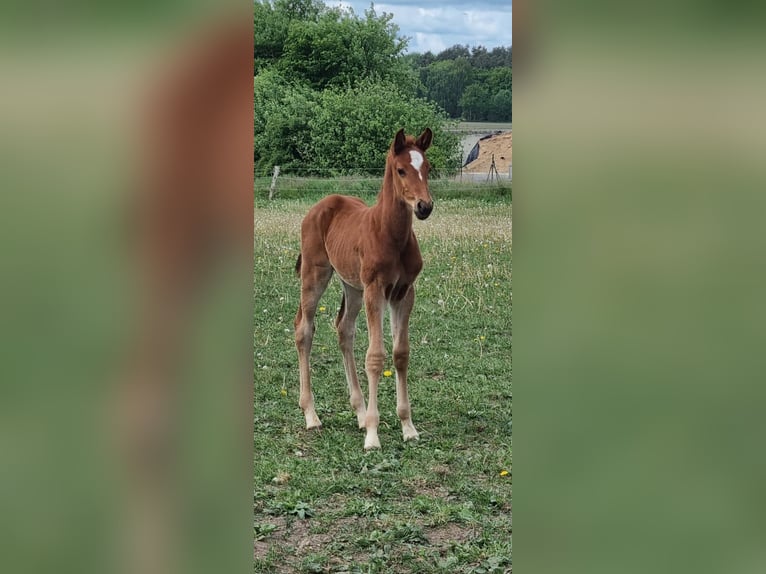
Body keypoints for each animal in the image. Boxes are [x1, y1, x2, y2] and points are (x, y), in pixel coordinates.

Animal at [294, 128, 434, 450]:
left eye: (428, 168)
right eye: (401, 170)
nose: (424, 207)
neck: (390, 234)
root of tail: (322, 205)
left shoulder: (403, 293)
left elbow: (400, 354)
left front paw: (408, 427)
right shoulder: (375, 289)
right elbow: (375, 357)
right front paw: (373, 434)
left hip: (351, 286)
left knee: (344, 329)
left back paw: (358, 410)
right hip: (315, 274)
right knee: (304, 329)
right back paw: (311, 415)